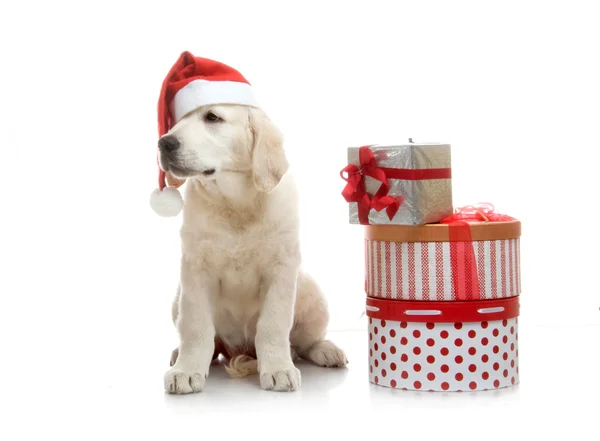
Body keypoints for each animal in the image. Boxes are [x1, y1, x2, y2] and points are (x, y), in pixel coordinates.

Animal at [161, 103, 346, 392]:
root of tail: (239, 350)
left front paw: (279, 368)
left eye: (212, 117)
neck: (236, 203)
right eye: (177, 122)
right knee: (210, 341)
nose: (164, 143)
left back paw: (325, 350)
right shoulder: (195, 268)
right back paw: (182, 353)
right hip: (178, 298)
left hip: (311, 292)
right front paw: (187, 370)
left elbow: (273, 324)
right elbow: (196, 326)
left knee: (306, 343)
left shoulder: (281, 267)